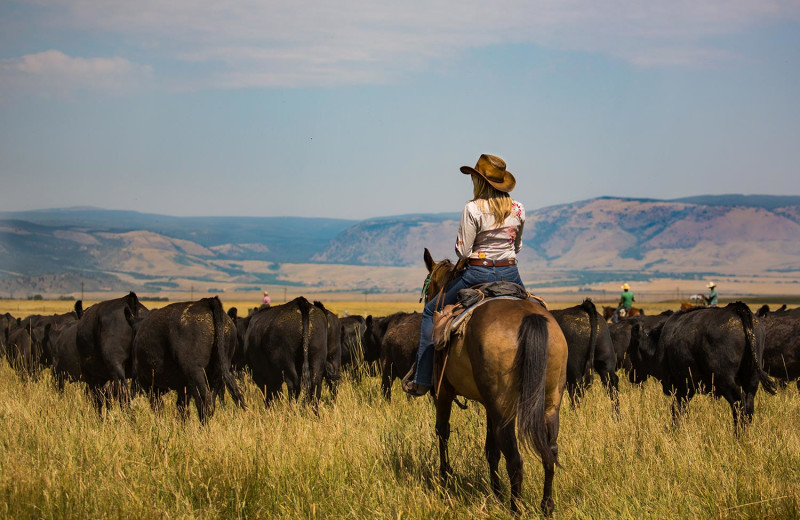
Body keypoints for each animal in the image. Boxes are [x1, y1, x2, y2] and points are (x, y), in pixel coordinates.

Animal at [418, 249, 568, 516]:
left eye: (428, 291)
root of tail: (529, 317)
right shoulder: (489, 406)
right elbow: (491, 450)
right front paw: (495, 493)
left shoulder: (444, 392)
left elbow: (442, 432)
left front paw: (445, 478)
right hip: (548, 404)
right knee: (550, 452)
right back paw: (546, 506)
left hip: (504, 409)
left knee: (516, 459)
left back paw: (515, 509)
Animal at [632, 300, 776, 430]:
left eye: (632, 350)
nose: (632, 377)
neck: (660, 340)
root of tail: (737, 308)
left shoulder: (680, 388)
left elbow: (677, 410)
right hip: (752, 382)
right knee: (748, 409)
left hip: (725, 381)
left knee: (739, 406)